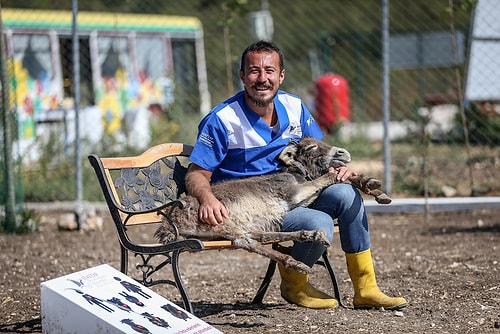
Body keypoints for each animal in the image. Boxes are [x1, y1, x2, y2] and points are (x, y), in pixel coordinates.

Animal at [154, 136, 388, 274]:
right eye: (311, 147)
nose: (343, 153)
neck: (296, 174)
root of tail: (168, 223)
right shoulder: (294, 193)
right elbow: (329, 177)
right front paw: (371, 185)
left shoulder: (302, 197)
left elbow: (341, 178)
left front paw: (376, 189)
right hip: (222, 225)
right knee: (248, 243)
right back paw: (297, 263)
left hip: (232, 228)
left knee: (262, 237)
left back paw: (310, 236)